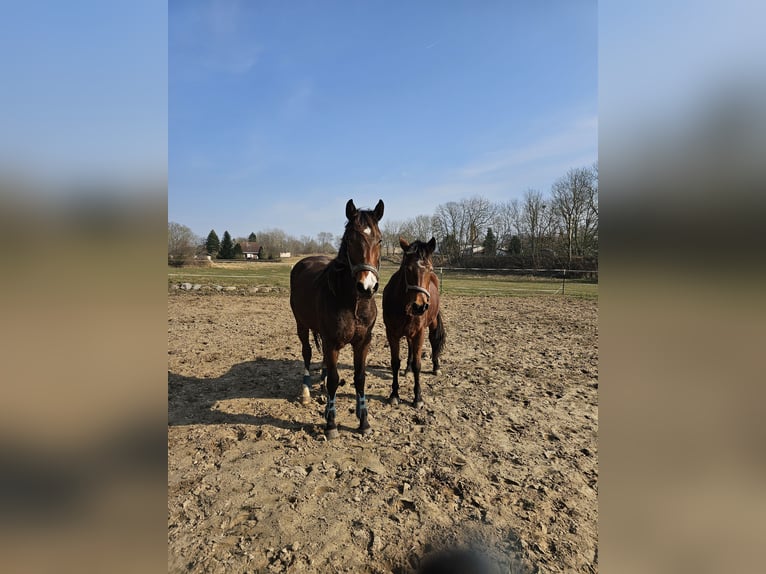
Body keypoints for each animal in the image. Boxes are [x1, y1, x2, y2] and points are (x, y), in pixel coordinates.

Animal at [289, 199, 384, 438]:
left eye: (379, 239)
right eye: (350, 239)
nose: (367, 286)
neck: (352, 303)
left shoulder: (363, 342)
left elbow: (360, 378)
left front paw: (364, 422)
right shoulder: (332, 342)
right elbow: (334, 379)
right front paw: (331, 424)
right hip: (302, 325)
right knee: (307, 353)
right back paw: (306, 392)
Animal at [382, 237, 446, 408]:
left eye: (429, 268)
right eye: (407, 269)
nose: (419, 306)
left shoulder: (419, 332)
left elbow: (418, 364)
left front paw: (418, 398)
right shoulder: (392, 333)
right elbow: (395, 362)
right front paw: (394, 394)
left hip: (431, 323)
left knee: (434, 341)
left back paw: (436, 367)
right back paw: (407, 368)